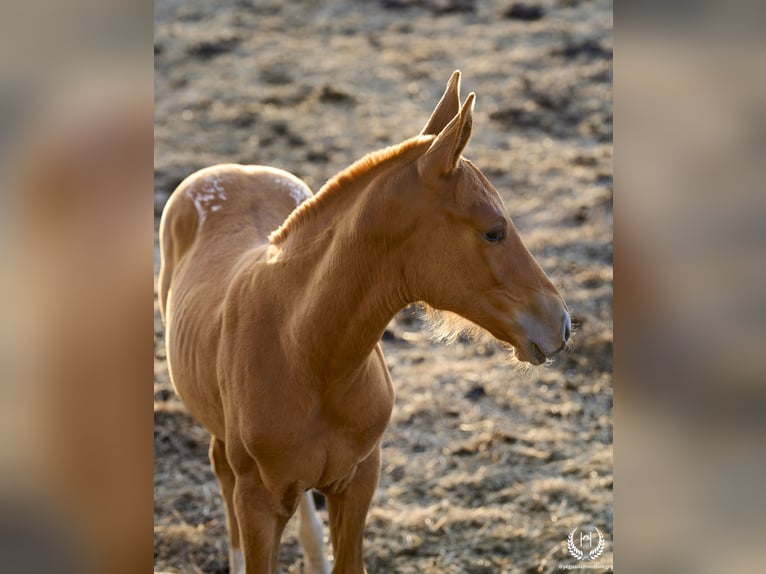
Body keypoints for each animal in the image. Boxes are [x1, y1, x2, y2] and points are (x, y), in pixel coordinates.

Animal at [159, 73, 568, 574]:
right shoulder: (257, 501)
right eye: (493, 230)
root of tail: (239, 168)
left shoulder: (358, 482)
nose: (561, 324)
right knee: (220, 468)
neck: (306, 353)